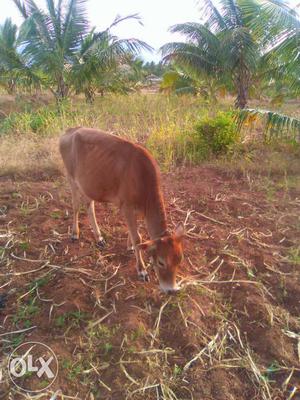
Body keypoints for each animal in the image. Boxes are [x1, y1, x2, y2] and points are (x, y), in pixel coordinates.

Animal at [59, 128, 184, 294]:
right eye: (161, 262)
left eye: (179, 260)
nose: (172, 290)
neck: (142, 177)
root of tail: (71, 130)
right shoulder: (127, 207)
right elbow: (137, 237)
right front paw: (141, 270)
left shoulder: (138, 210)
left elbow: (135, 234)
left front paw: (130, 247)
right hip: (71, 178)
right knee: (75, 206)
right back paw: (75, 233)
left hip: (88, 184)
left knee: (89, 205)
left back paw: (99, 237)